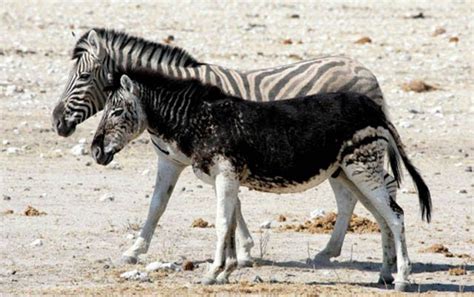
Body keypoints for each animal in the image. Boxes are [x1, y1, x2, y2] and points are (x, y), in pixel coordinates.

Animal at [52, 27, 396, 280]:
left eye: (83, 77)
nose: (56, 122)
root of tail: (365, 70)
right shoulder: (173, 160)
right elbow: (159, 204)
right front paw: (136, 250)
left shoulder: (213, 160)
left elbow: (225, 205)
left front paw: (239, 253)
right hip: (338, 160)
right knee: (351, 196)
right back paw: (334, 253)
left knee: (381, 191)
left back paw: (383, 260)